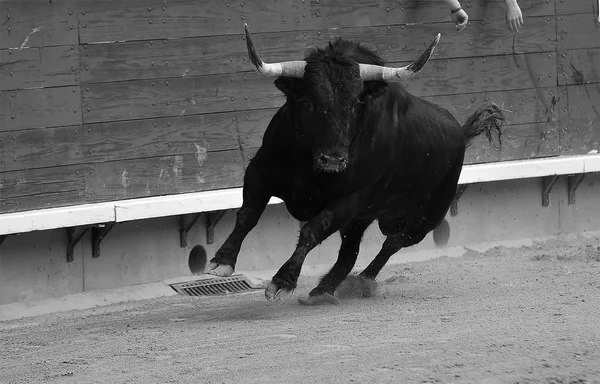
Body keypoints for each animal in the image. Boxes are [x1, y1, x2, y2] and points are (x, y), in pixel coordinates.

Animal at [206, 24, 502, 306]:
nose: (334, 160)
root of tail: (460, 132)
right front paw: (222, 261)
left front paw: (282, 283)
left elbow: (312, 231)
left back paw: (359, 282)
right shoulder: (259, 172)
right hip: (365, 219)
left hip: (425, 218)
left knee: (392, 243)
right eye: (307, 102)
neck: (309, 163)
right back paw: (324, 290)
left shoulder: (350, 200)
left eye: (357, 103)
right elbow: (248, 214)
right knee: (351, 253)